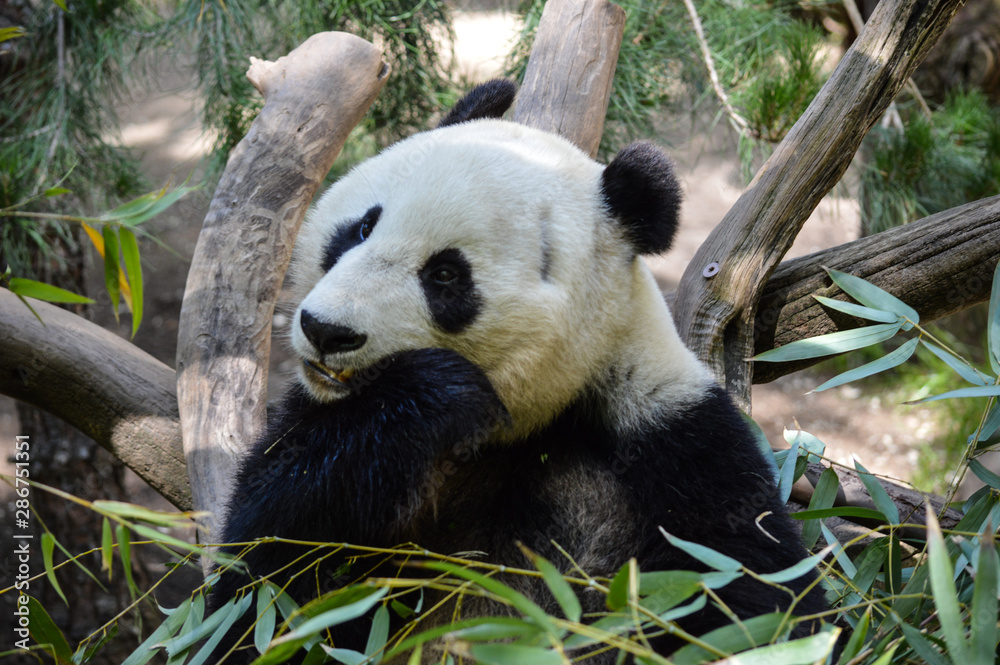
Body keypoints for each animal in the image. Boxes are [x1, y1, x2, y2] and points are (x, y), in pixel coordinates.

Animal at [207, 79, 827, 663]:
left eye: (446, 275)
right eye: (361, 228)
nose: (326, 330)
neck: (524, 426)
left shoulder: (677, 444)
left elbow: (752, 599)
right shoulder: (318, 429)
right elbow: (266, 583)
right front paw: (431, 395)